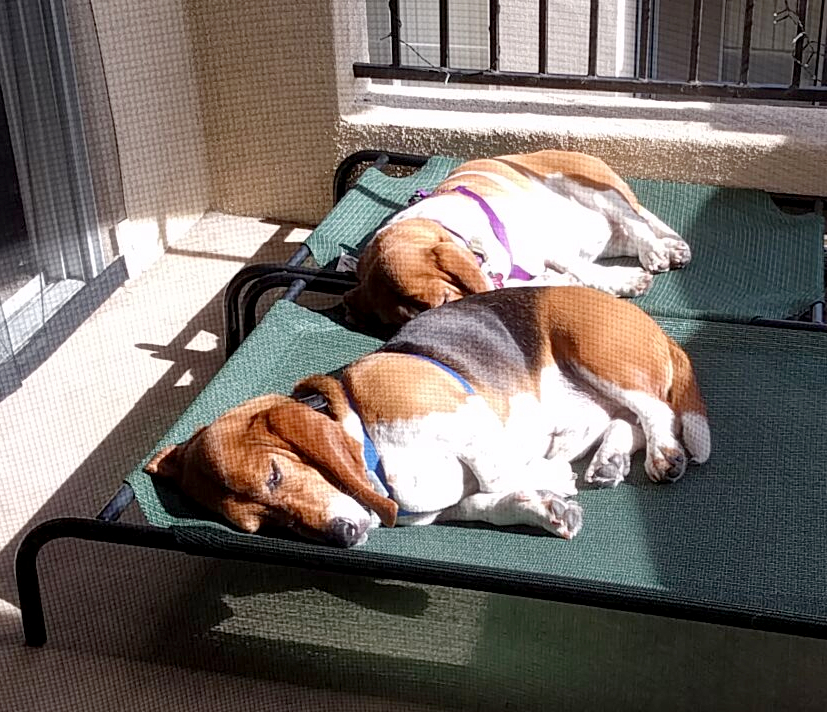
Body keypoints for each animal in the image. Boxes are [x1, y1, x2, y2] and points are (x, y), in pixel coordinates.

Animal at [145, 286, 710, 547]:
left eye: (275, 475)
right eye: (261, 524)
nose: (341, 537)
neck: (371, 449)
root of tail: (654, 326)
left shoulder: (465, 416)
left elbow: (498, 474)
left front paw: (548, 481)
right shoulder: (442, 510)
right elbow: (487, 501)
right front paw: (543, 506)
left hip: (591, 348)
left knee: (656, 410)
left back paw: (663, 454)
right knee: (622, 421)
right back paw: (608, 460)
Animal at [343, 150, 690, 330]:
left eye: (441, 301)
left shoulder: (546, 246)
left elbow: (582, 271)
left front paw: (628, 280)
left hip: (594, 189)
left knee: (636, 222)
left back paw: (657, 251)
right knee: (626, 231)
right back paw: (668, 249)